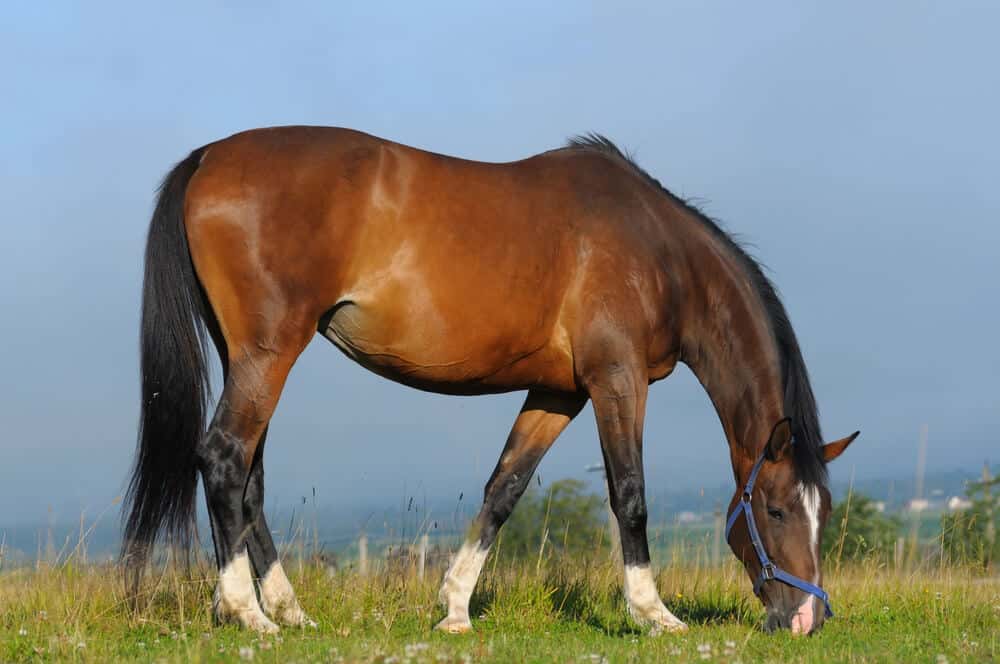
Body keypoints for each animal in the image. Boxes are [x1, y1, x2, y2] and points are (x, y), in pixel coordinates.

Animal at [123, 126, 859, 636]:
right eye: (776, 510)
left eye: (823, 513)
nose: (807, 619)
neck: (659, 251)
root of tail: (209, 157)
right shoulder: (616, 380)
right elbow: (630, 495)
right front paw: (654, 613)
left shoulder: (559, 392)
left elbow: (504, 489)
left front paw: (454, 607)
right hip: (269, 354)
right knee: (225, 458)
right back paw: (248, 614)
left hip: (247, 356)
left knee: (249, 476)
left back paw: (286, 609)